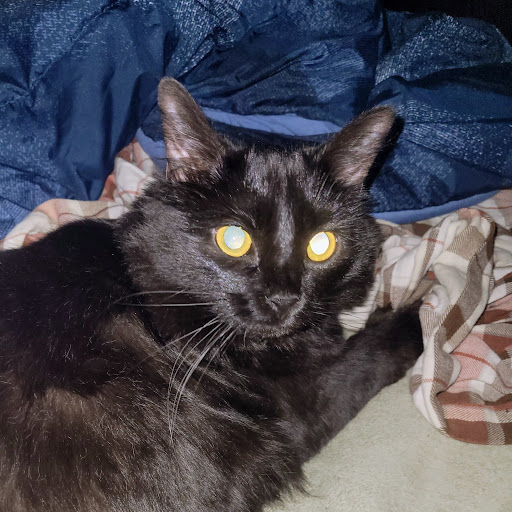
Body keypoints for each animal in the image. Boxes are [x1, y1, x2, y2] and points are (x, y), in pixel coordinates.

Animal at [0, 78, 422, 512]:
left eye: (321, 245)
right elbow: (366, 358)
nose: (284, 298)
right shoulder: (303, 407)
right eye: (233, 239)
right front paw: (417, 311)